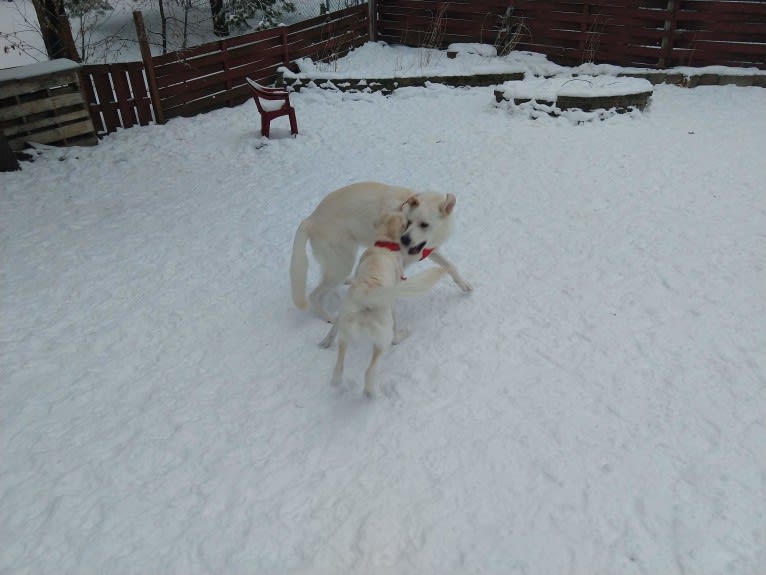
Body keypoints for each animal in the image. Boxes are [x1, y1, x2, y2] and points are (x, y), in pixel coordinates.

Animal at [292, 181, 472, 322]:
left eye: (424, 224)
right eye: (409, 222)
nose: (404, 240)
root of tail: (310, 219)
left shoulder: (427, 250)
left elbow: (450, 266)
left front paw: (465, 286)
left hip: (339, 265)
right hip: (342, 263)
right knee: (314, 295)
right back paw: (329, 317)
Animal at [320, 214, 448, 398]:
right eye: (407, 222)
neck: (384, 243)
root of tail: (366, 296)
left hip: (345, 334)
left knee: (339, 365)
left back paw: (336, 379)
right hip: (383, 338)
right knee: (372, 366)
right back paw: (370, 393)